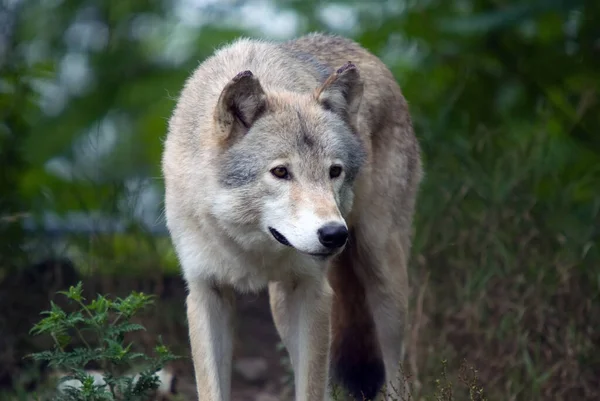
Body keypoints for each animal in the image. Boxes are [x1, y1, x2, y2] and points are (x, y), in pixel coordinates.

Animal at [159, 32, 422, 400]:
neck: (251, 245)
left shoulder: (313, 291)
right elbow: (212, 388)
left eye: (334, 171)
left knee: (396, 369)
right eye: (281, 172)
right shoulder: (206, 293)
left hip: (381, 273)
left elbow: (310, 389)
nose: (334, 235)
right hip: (281, 306)